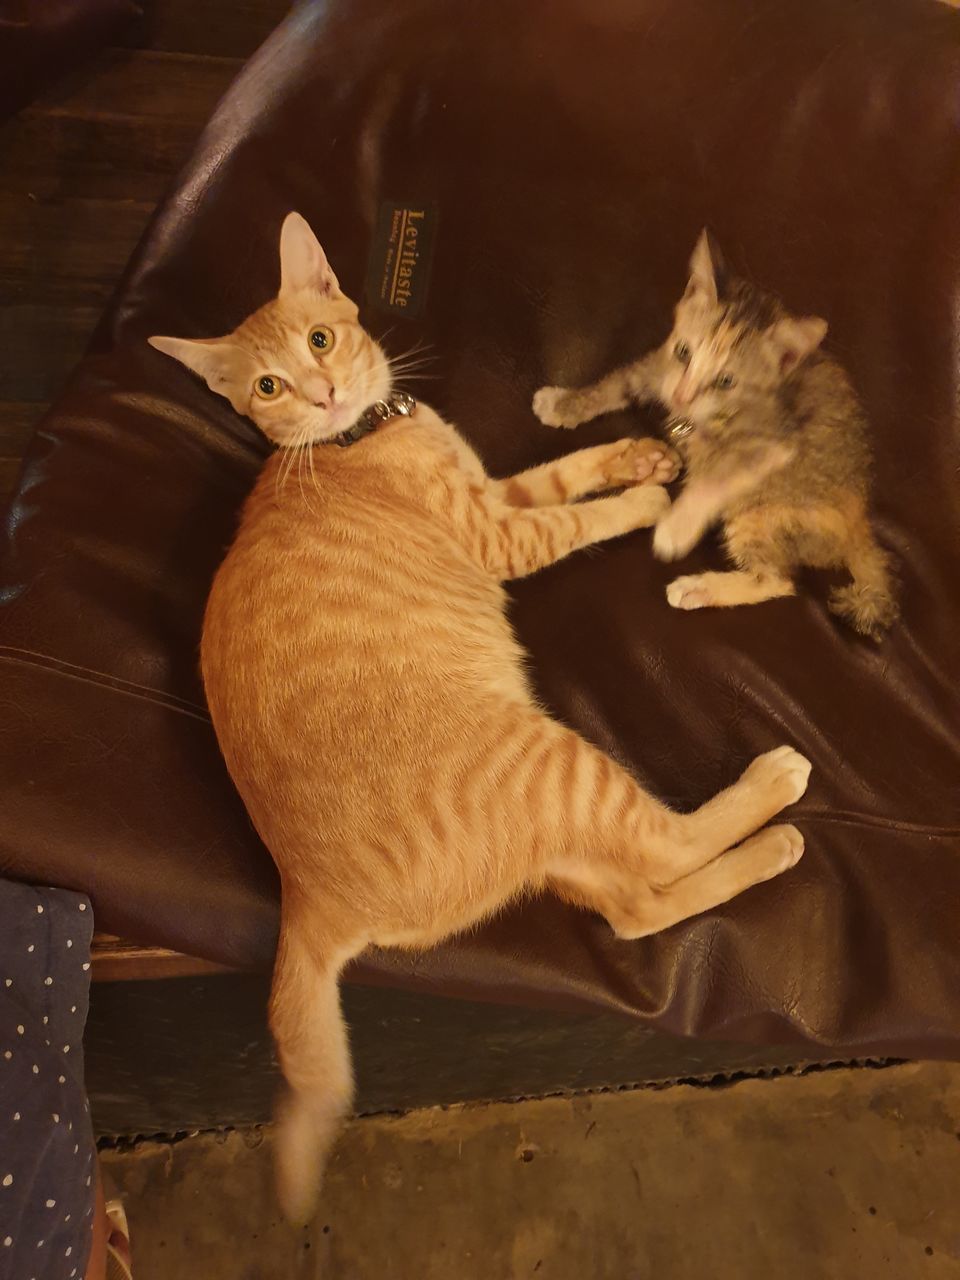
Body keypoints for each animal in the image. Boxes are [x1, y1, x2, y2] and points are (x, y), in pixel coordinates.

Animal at [148, 215, 814, 1223]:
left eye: (319, 340)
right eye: (268, 387)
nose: (321, 389)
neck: (356, 438)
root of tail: (304, 898)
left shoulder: (500, 491)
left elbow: (560, 469)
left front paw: (636, 458)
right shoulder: (503, 533)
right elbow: (581, 516)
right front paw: (647, 497)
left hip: (555, 827)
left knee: (636, 907)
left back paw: (764, 846)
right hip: (555, 763)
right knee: (663, 851)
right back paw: (776, 798)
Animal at [535, 231, 901, 640]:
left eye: (726, 381)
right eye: (683, 352)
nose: (681, 396)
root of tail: (861, 526)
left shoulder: (773, 446)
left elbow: (718, 477)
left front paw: (676, 528)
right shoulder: (660, 367)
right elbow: (618, 382)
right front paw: (564, 403)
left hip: (765, 512)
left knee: (779, 579)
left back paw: (697, 588)